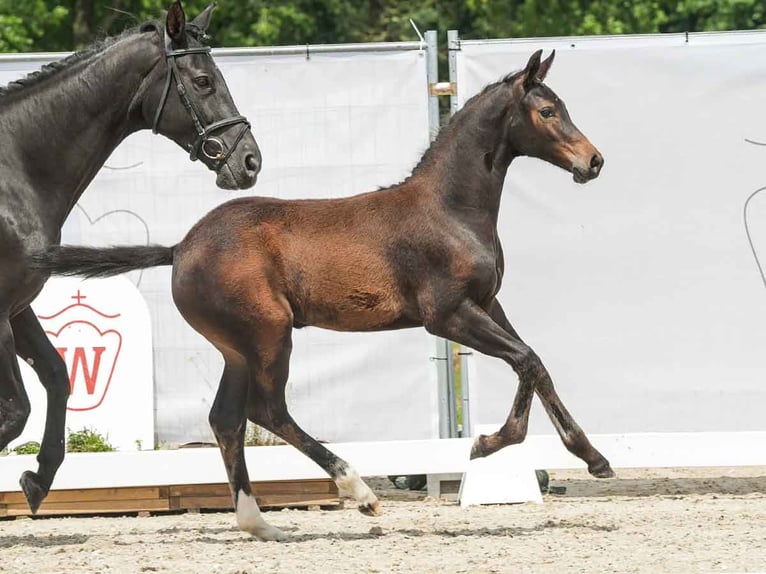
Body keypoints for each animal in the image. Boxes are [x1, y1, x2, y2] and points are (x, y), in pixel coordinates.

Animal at [1, 0, 262, 512]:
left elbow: (56, 376)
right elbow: (16, 411)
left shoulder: (17, 306)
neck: (13, 168)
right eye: (204, 81)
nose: (249, 162)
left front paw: (38, 480)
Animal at [33, 49, 616, 540]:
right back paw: (357, 492)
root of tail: (180, 248)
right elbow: (526, 360)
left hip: (238, 348)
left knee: (226, 418)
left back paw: (259, 524)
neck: (450, 210)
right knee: (267, 411)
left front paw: (593, 457)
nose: (593, 162)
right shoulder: (447, 315)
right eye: (546, 111)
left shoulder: (488, 303)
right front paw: (487, 442)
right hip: (270, 335)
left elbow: (536, 365)